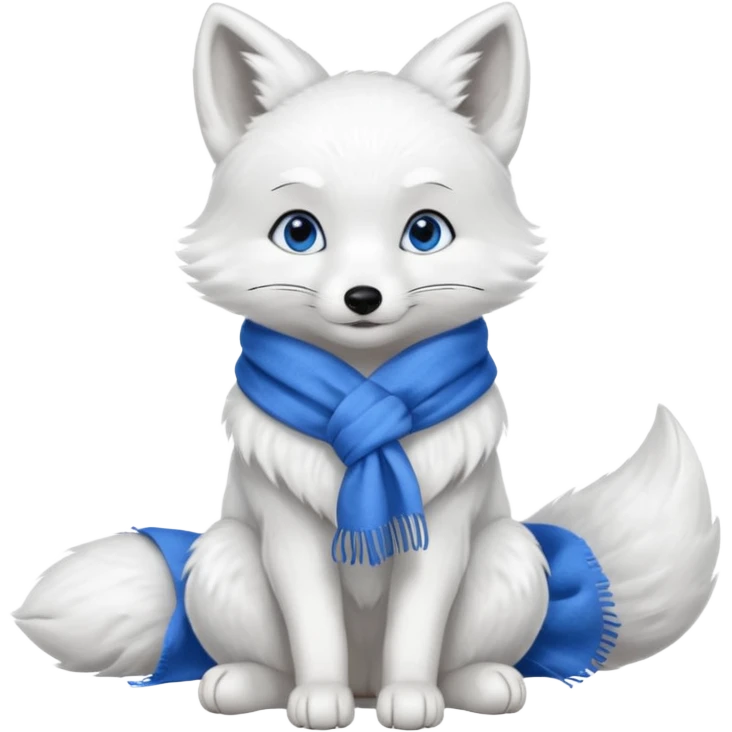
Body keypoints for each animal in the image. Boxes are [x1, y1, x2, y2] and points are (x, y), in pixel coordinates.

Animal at [11, 3, 721, 730]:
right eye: (299, 232)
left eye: (425, 232)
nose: (362, 298)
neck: (367, 392)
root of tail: (365, 685)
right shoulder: (290, 537)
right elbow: (314, 629)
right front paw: (316, 701)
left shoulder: (439, 535)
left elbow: (417, 630)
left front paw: (414, 701)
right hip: (225, 558)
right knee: (266, 658)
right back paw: (248, 685)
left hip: (509, 557)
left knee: (469, 654)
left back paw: (476, 685)